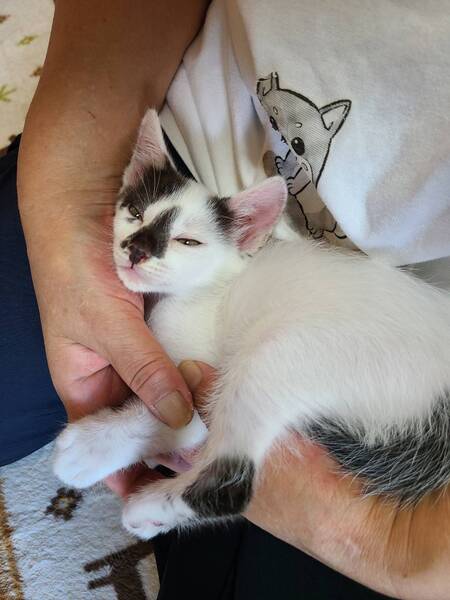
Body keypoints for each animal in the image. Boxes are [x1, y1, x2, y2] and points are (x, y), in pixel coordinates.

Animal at [53, 108, 450, 540]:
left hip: (289, 353)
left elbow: (178, 414)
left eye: (188, 242)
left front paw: (91, 447)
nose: (137, 249)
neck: (203, 291)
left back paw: (146, 506)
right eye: (136, 213)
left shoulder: (199, 368)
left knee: (232, 483)